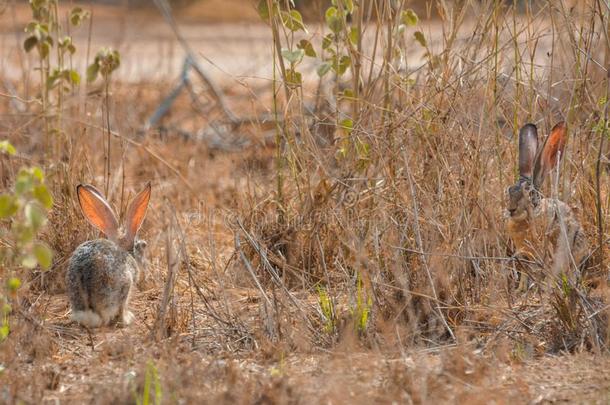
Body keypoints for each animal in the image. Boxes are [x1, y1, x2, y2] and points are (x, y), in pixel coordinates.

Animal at [506, 120, 588, 290]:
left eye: (530, 194)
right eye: (509, 190)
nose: (511, 209)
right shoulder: (524, 255)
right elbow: (525, 273)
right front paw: (520, 289)